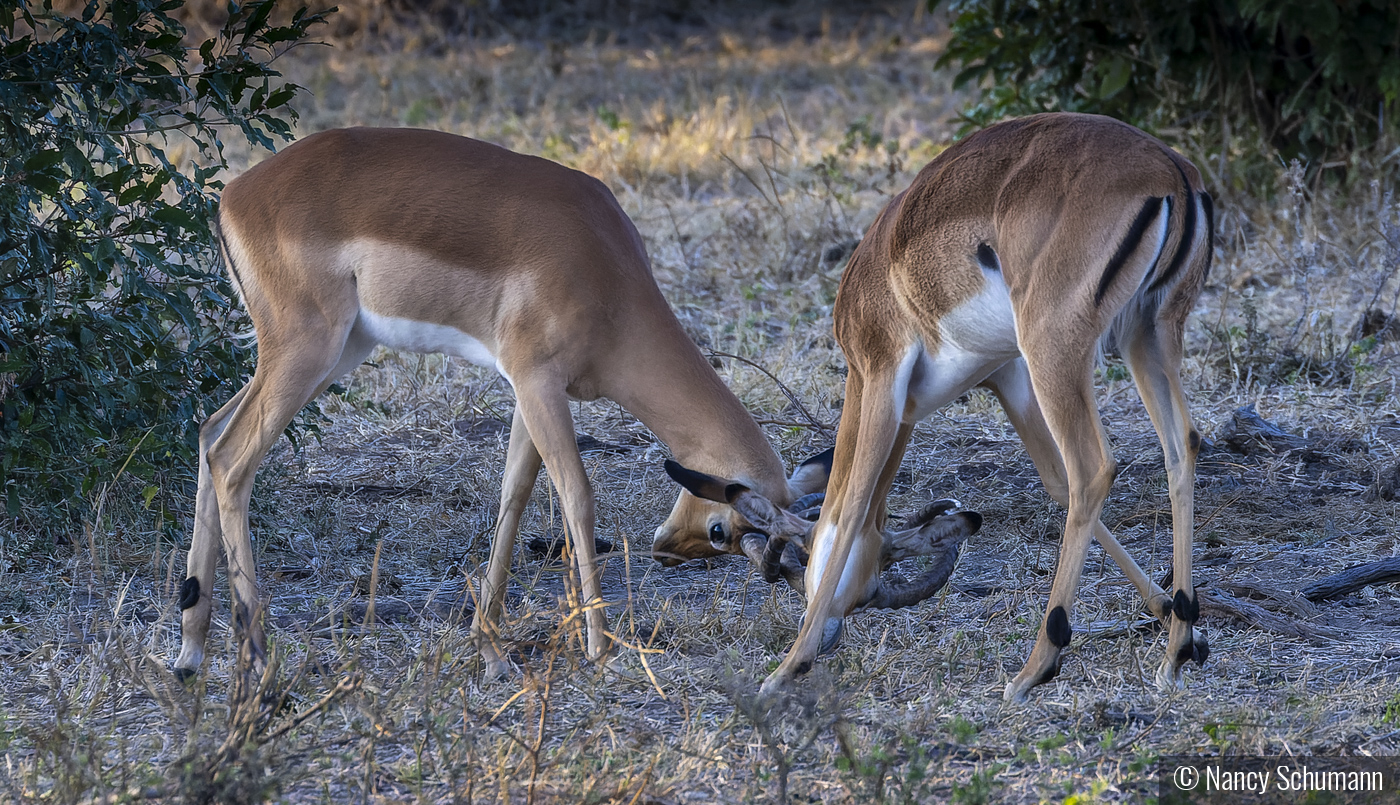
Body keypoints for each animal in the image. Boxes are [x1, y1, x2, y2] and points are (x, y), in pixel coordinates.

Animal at [175, 127, 828, 680]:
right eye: (721, 530)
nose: (666, 552)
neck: (606, 271)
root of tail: (233, 194)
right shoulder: (537, 380)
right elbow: (577, 498)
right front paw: (601, 648)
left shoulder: (529, 390)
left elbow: (513, 497)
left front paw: (489, 650)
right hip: (306, 351)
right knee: (233, 459)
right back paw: (259, 659)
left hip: (333, 352)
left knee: (208, 432)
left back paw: (190, 652)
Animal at [711, 112, 1215, 700]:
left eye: (864, 592)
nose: (833, 631)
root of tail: (1171, 169)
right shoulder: (1004, 375)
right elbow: (1053, 482)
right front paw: (1172, 618)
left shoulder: (881, 378)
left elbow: (855, 501)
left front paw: (787, 668)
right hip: (1147, 334)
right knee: (1180, 446)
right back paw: (1175, 650)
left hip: (1056, 348)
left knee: (1093, 468)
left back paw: (1034, 668)